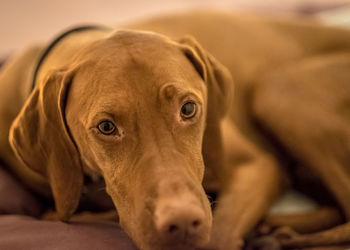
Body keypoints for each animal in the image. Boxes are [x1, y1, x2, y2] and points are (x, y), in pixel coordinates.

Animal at [0, 10, 350, 250]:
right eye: (106, 127)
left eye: (188, 109)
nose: (182, 222)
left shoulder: (256, 166)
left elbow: (217, 235)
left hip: (279, 91)